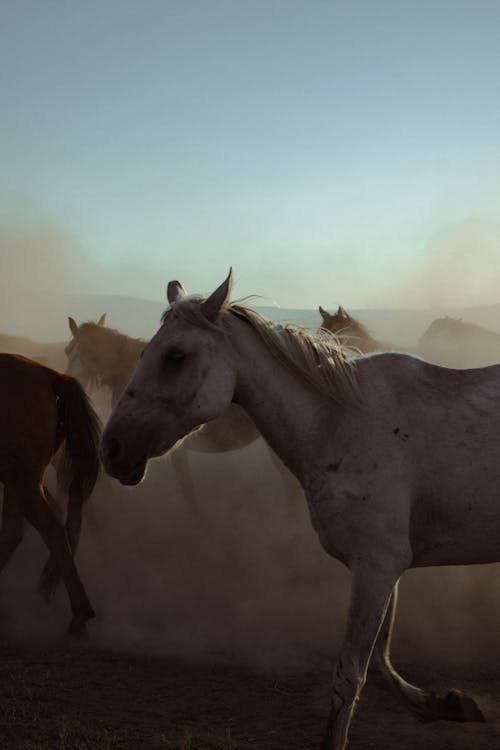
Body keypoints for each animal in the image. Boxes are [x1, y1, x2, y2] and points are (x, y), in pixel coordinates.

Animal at [0, 354, 100, 636]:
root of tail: (51, 376)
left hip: (21, 480)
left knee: (49, 529)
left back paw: (80, 616)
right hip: (19, 480)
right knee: (17, 530)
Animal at [100, 270, 492, 750]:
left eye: (175, 356)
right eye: (142, 352)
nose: (113, 447)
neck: (345, 424)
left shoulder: (377, 565)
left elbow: (350, 676)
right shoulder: (387, 567)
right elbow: (380, 660)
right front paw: (445, 703)